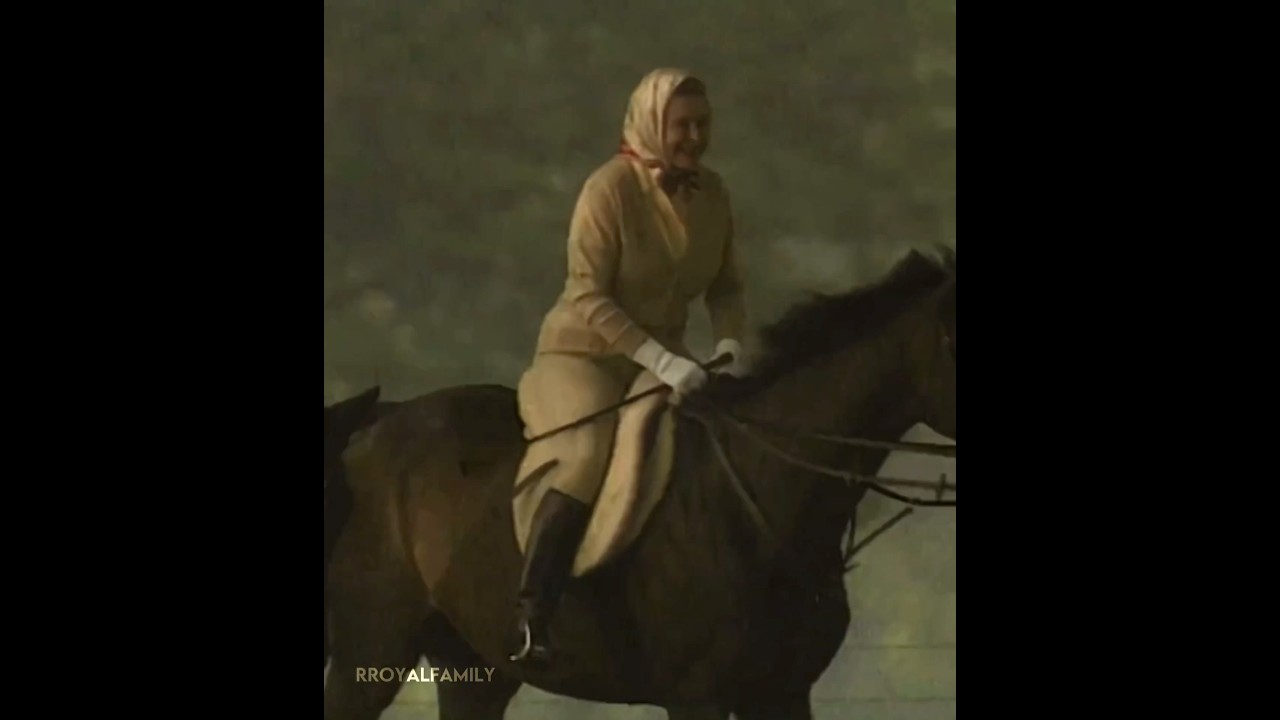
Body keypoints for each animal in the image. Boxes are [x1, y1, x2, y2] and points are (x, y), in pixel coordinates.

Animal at [323, 247, 956, 720]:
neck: (760, 498)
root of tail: (371, 429)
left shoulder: (782, 692)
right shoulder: (697, 696)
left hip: (471, 670)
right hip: (370, 654)